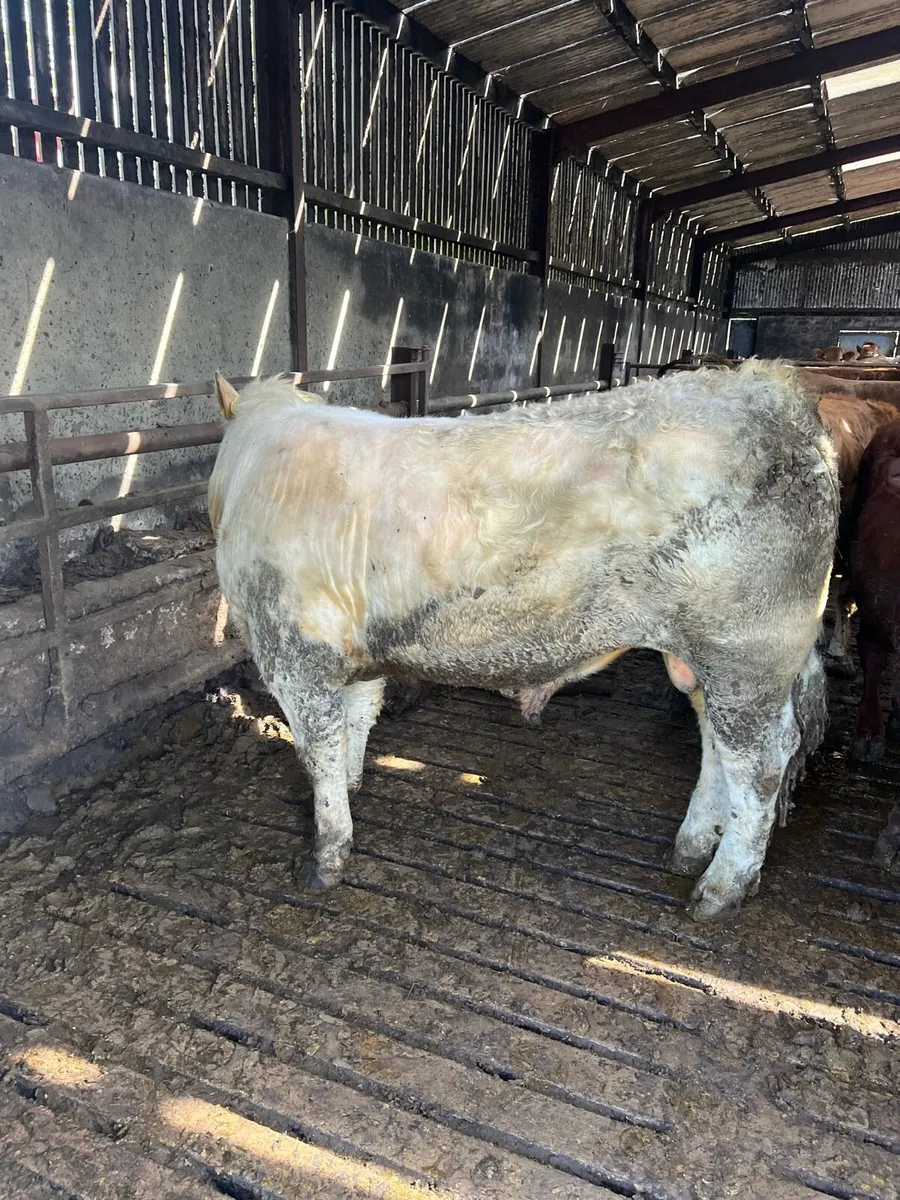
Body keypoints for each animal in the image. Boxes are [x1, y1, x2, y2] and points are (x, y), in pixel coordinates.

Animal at [208, 362, 838, 921]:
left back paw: (721, 888)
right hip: (702, 659)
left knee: (760, 763)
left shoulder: (294, 655)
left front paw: (327, 856)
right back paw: (690, 848)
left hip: (746, 655)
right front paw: (354, 784)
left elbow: (318, 752)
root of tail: (773, 388)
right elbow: (357, 722)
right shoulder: (358, 653)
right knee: (715, 746)